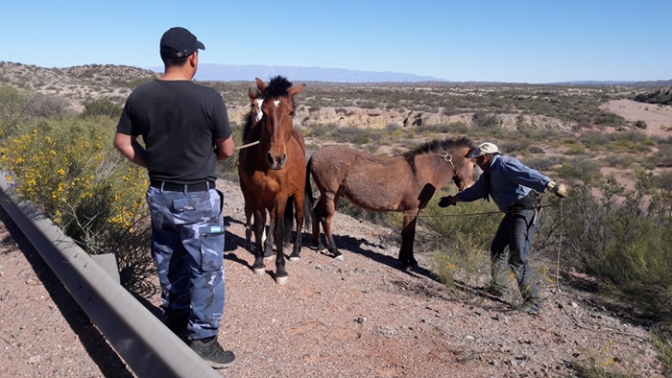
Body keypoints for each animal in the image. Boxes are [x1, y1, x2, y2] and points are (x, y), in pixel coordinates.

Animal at [236, 76, 312, 284]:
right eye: (264, 110)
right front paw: (259, 262)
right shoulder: (254, 194)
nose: (276, 158)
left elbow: (278, 230)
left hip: (298, 193)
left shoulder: (280, 196)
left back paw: (295, 252)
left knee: (299, 218)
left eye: (291, 111)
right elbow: (259, 225)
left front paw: (280, 270)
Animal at [308, 137, 476, 268]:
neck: (424, 171)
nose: (468, 187)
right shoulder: (410, 210)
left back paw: (318, 245)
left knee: (316, 213)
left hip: (331, 194)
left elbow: (411, 234)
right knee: (327, 219)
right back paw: (335, 251)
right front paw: (406, 262)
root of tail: (315, 154)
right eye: (474, 165)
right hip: (330, 194)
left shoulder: (416, 211)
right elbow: (407, 234)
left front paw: (411, 260)